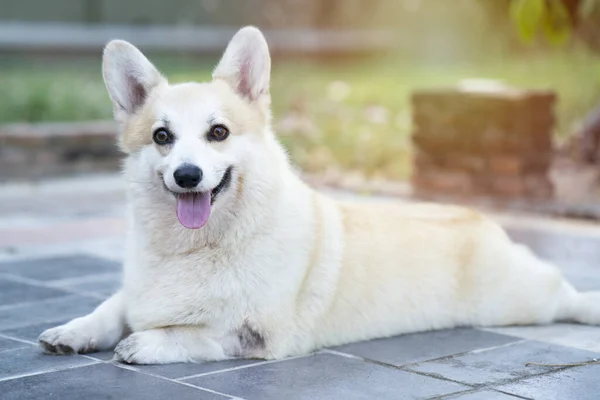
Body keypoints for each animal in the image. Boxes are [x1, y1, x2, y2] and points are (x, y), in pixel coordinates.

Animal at [39, 24, 600, 362]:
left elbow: (190, 332)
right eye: (161, 137)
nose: (188, 176)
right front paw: (72, 332)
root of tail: (481, 220)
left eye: (218, 133)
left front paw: (144, 343)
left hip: (519, 302)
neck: (195, 248)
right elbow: (111, 308)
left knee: (564, 297)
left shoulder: (257, 333)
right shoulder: (135, 291)